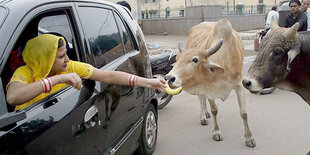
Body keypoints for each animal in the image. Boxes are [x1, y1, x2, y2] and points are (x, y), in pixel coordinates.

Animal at [163, 18, 256, 147]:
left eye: (195, 59)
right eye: (176, 59)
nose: (169, 77)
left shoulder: (238, 85)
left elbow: (244, 113)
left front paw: (249, 138)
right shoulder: (209, 88)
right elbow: (214, 110)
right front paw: (216, 132)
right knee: (200, 98)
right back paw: (203, 116)